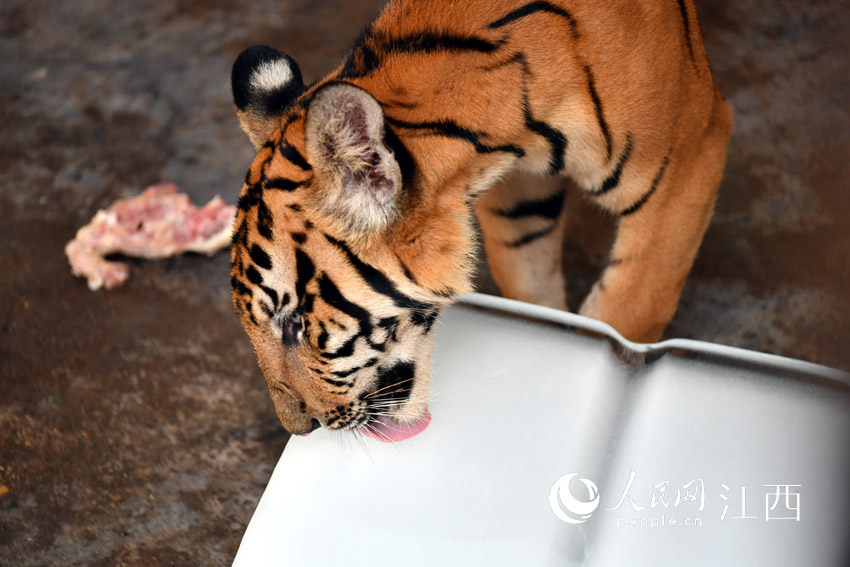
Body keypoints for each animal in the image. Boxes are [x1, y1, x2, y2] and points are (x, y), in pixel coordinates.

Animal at [225, 0, 728, 434]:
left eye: (294, 323)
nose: (299, 428)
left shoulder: (688, 157)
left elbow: (629, 310)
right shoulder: (518, 195)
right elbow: (531, 284)